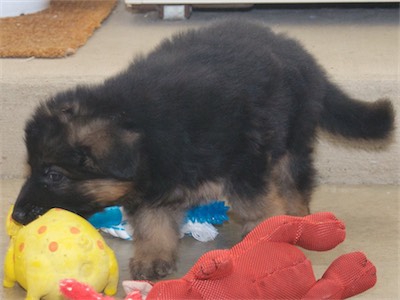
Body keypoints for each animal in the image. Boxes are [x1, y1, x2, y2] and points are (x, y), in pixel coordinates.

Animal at [12, 20, 394, 278]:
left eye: (54, 175)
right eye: (30, 168)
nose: (16, 216)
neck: (141, 123)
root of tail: (300, 53)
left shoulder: (246, 161)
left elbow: (255, 203)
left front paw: (265, 233)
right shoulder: (151, 187)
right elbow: (153, 222)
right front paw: (154, 255)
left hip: (292, 138)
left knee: (294, 182)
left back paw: (297, 218)